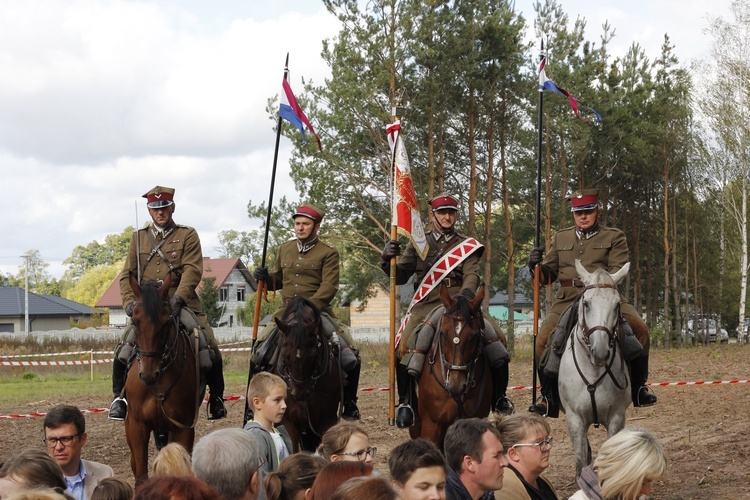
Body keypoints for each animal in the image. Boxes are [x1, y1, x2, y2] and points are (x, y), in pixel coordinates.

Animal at [125, 274, 206, 484]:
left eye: (165, 323)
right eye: (135, 321)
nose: (148, 375)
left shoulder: (183, 428)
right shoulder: (137, 427)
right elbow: (141, 475)